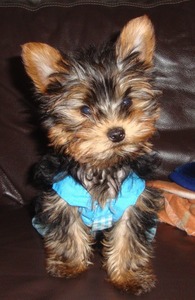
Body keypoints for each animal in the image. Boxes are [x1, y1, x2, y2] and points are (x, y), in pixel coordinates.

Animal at [22, 16, 163, 296]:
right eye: (85, 110)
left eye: (127, 102)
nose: (117, 132)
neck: (103, 166)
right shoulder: (62, 200)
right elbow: (68, 231)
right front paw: (70, 264)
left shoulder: (133, 203)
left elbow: (128, 238)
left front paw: (127, 276)